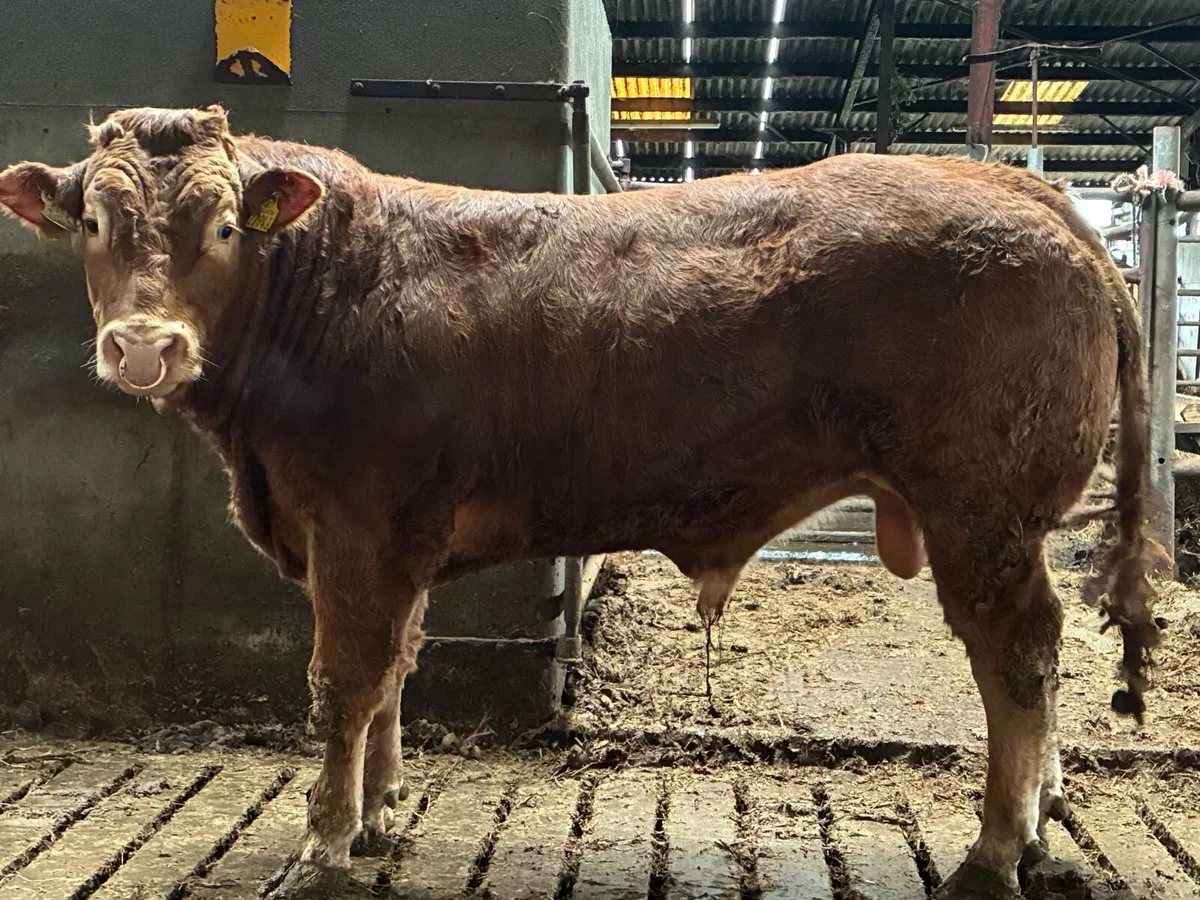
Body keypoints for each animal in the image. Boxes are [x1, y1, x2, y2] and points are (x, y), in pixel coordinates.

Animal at [0, 106, 1161, 899]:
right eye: (93, 220)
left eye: (225, 226)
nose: (143, 346)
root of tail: (1019, 189)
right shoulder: (396, 539)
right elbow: (395, 672)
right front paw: (378, 810)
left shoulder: (356, 526)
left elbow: (343, 682)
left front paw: (324, 842)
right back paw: (1040, 817)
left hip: (982, 511)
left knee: (1019, 656)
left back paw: (995, 849)